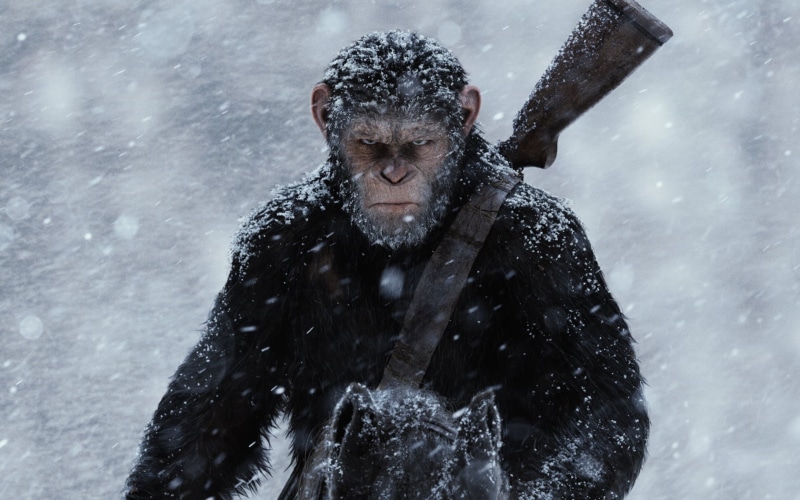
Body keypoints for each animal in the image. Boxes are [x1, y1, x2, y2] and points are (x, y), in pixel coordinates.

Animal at [125, 30, 648, 499]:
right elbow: (219, 406)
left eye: (421, 141)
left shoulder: (551, 248)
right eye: (367, 140)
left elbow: (605, 406)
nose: (393, 175)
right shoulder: (263, 248)